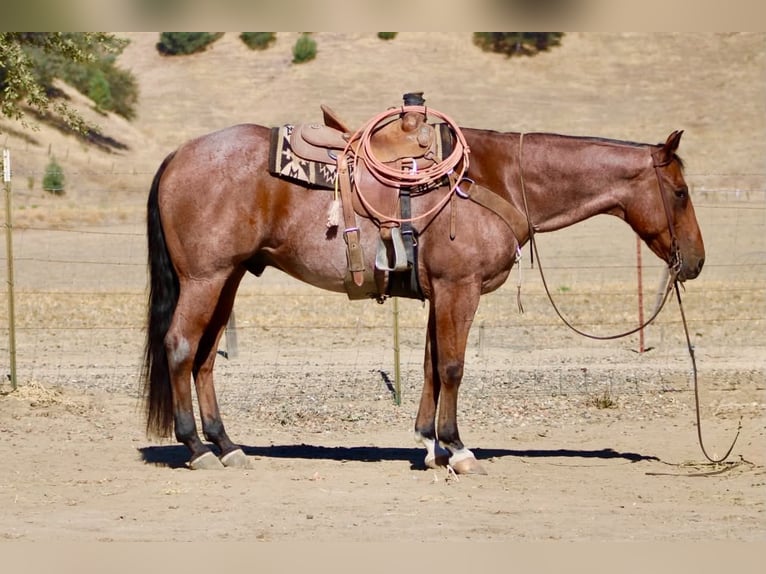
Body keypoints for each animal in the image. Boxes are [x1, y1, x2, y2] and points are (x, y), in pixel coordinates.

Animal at [142, 121, 704, 473]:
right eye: (680, 193)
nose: (695, 261)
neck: (500, 178)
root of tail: (177, 155)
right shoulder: (460, 289)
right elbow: (453, 366)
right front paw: (457, 448)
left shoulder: (442, 293)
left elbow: (434, 364)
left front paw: (431, 445)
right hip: (205, 278)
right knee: (180, 347)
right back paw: (196, 447)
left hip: (229, 278)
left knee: (205, 357)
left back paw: (227, 444)